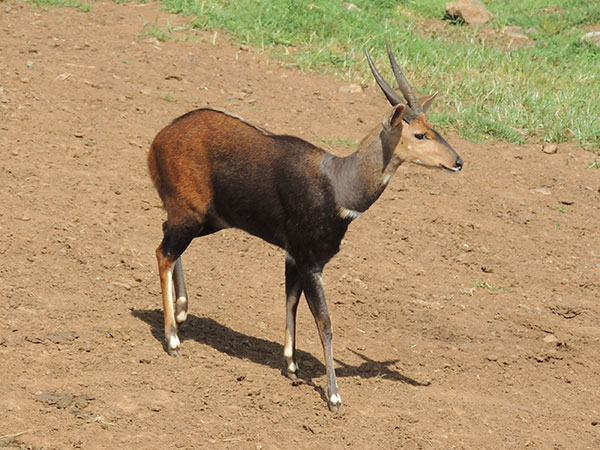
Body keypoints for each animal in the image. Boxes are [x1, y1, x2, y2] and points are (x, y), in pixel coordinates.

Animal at [148, 42, 462, 412]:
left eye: (434, 128)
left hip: (208, 219)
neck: (338, 184)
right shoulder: (311, 261)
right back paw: (172, 338)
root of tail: (159, 139)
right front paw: (334, 395)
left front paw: (291, 365)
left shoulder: (292, 256)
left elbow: (290, 301)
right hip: (192, 215)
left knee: (166, 235)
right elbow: (325, 322)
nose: (458, 161)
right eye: (420, 134)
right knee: (163, 252)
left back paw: (184, 310)